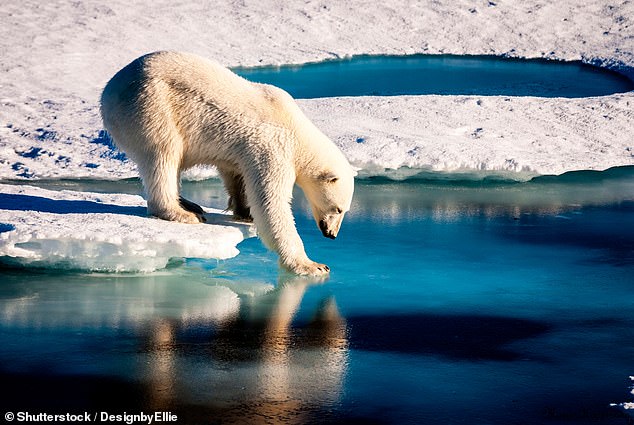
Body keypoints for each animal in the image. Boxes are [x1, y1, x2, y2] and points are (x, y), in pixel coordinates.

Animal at [101, 51, 354, 274]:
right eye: (338, 209)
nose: (331, 234)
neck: (297, 130)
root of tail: (108, 91)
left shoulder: (243, 150)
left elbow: (236, 174)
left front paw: (244, 211)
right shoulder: (273, 147)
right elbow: (271, 203)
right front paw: (312, 265)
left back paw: (189, 204)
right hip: (151, 106)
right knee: (163, 155)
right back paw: (182, 213)